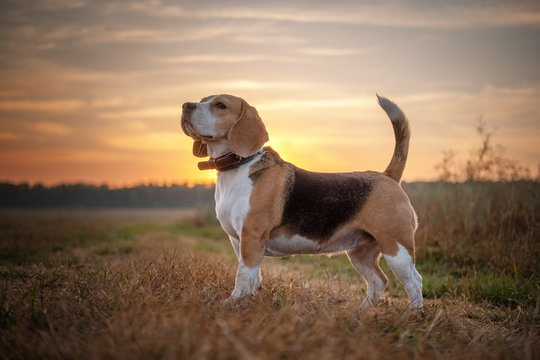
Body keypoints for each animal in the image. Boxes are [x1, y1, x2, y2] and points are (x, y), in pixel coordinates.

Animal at [180, 94, 422, 308]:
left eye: (220, 105)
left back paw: (414, 314)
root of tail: (387, 176)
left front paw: (232, 302)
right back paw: (361, 311)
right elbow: (253, 278)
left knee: (414, 282)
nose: (185, 106)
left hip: (396, 248)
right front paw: (246, 302)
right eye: (202, 100)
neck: (239, 165)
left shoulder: (251, 237)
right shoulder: (238, 241)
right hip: (360, 253)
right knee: (378, 281)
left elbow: (243, 276)